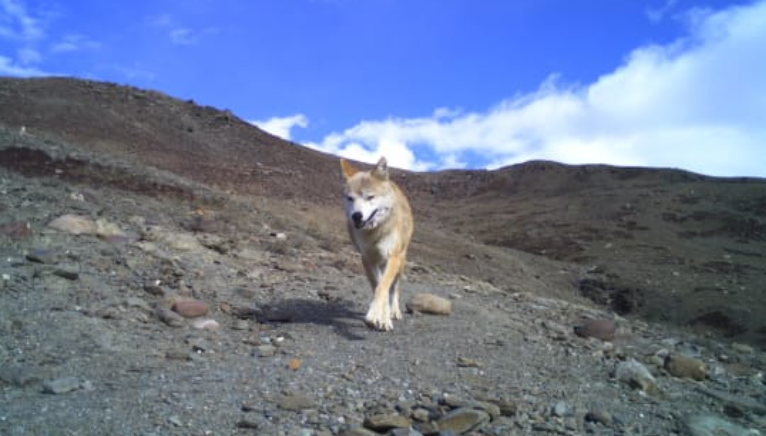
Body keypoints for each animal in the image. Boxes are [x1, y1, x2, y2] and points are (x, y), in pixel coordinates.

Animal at [340, 157, 414, 331]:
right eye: (350, 198)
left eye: (370, 197)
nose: (356, 216)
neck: (374, 232)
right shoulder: (367, 259)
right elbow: (378, 286)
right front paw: (381, 318)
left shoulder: (392, 257)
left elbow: (383, 287)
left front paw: (377, 316)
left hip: (400, 262)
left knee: (395, 288)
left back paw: (395, 311)